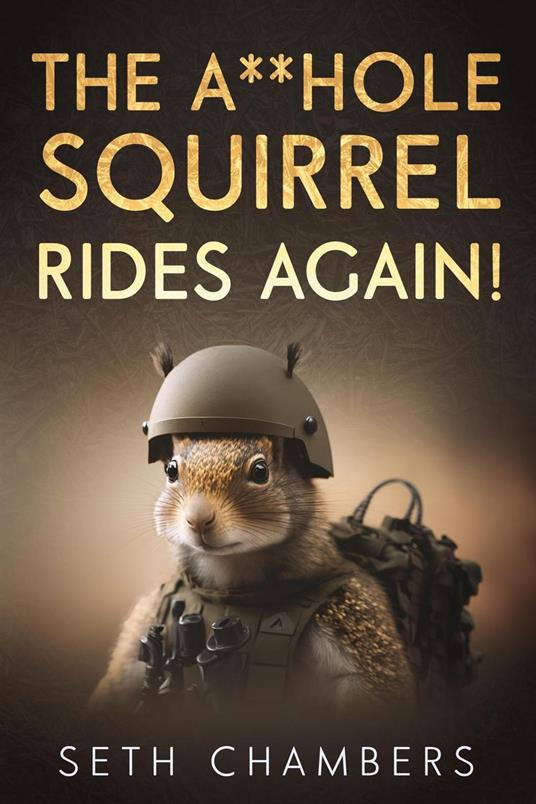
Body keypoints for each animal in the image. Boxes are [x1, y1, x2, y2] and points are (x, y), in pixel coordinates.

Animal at [90, 346, 415, 713]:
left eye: (260, 471)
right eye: (171, 470)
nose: (198, 519)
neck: (231, 582)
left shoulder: (352, 617)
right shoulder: (149, 615)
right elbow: (118, 679)